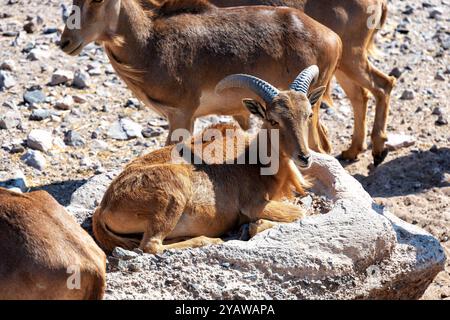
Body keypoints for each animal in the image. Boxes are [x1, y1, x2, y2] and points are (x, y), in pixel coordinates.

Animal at [92, 65, 324, 255]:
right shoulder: (254, 204)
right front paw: (252, 227)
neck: (254, 160)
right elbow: (299, 212)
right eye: (273, 120)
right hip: (171, 197)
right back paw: (208, 240)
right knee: (151, 245)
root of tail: (104, 207)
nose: (304, 157)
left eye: (308, 114)